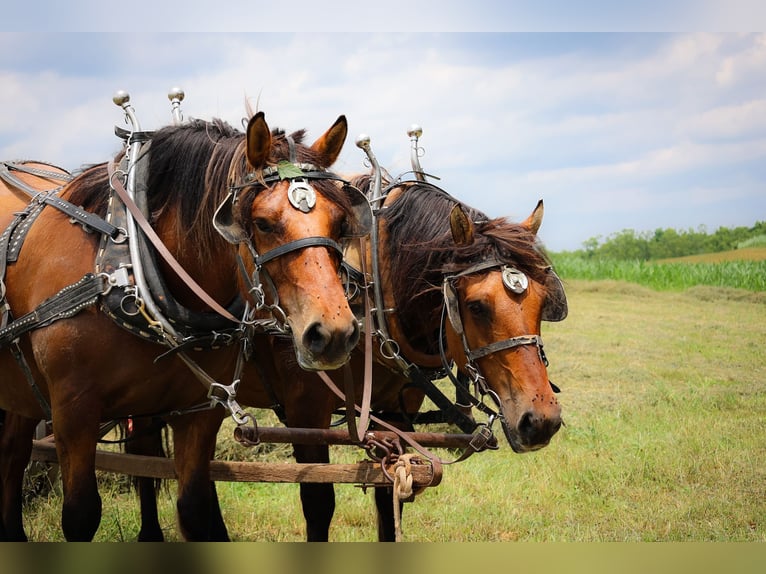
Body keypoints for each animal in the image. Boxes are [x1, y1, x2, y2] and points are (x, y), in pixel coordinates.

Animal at [0, 110, 368, 541]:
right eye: (262, 223)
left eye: (341, 223)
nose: (334, 333)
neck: (127, 263)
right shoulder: (73, 411)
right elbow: (80, 515)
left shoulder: (198, 411)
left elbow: (193, 508)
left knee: (12, 453)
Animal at [122, 173, 567, 541]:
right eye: (476, 306)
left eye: (543, 302)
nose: (541, 420)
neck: (371, 290)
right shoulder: (306, 412)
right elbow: (319, 505)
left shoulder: (396, 412)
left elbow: (389, 501)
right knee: (144, 457)